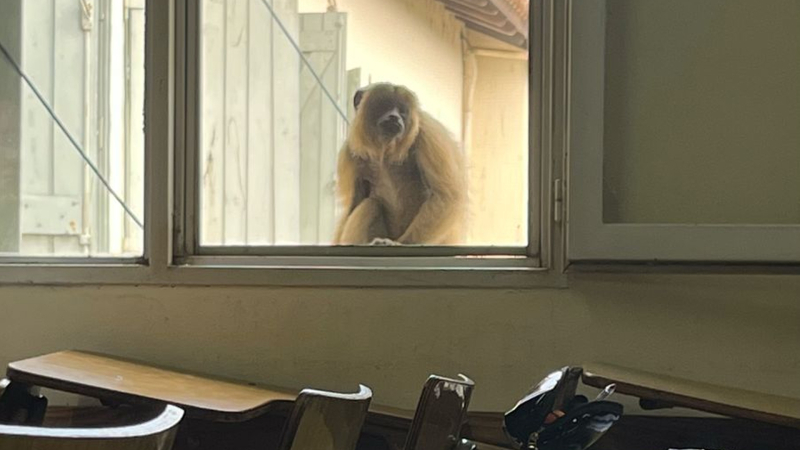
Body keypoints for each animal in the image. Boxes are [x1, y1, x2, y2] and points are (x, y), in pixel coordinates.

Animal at [333, 83, 466, 246]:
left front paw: (402, 243)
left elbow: (446, 196)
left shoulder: (427, 132)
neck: (384, 150)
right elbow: (355, 203)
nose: (394, 117)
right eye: (386, 105)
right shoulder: (350, 151)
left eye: (402, 111)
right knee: (370, 205)